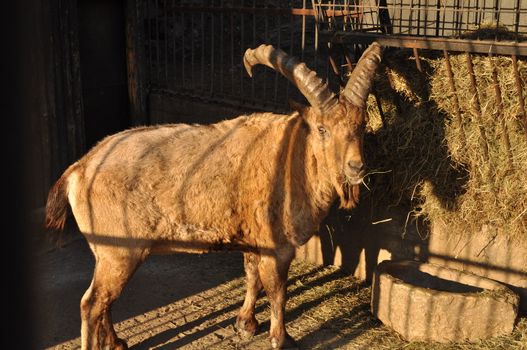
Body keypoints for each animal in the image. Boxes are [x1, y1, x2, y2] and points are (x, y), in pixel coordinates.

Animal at [45, 42, 382, 348]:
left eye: (362, 124)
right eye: (322, 129)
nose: (356, 166)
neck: (294, 156)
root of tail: (79, 168)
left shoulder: (254, 239)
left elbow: (251, 276)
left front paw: (246, 323)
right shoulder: (278, 245)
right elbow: (277, 291)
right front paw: (281, 338)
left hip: (109, 252)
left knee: (104, 303)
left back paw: (116, 342)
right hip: (118, 251)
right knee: (92, 304)